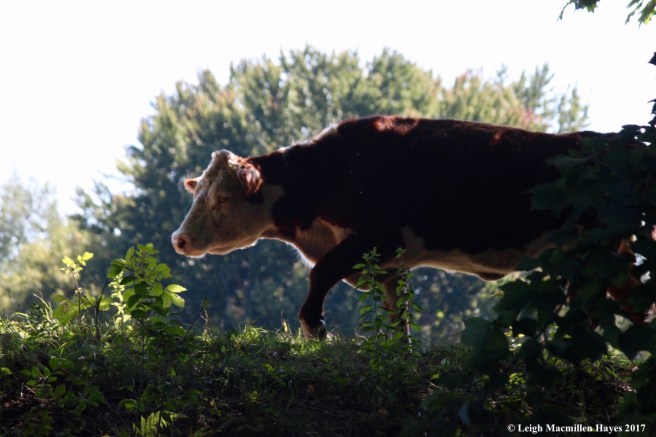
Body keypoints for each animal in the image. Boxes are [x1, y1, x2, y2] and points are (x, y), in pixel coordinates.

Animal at [170, 115, 616, 338]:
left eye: (222, 198)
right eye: (197, 194)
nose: (180, 239)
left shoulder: (371, 240)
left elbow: (320, 275)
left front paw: (315, 328)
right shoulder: (388, 265)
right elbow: (397, 317)